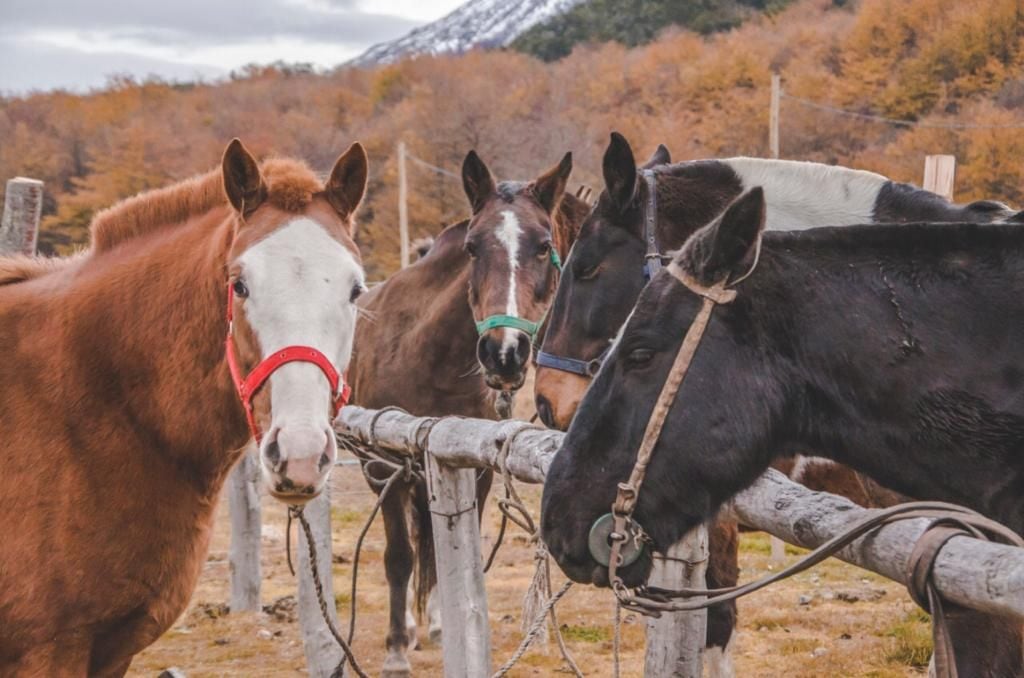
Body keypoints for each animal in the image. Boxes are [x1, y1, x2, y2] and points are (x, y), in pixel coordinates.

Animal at [348, 150, 585, 678]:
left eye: (544, 247)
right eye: (473, 247)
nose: (504, 353)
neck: (427, 353)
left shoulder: (472, 466)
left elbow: (455, 547)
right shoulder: (384, 468)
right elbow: (399, 557)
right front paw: (396, 648)